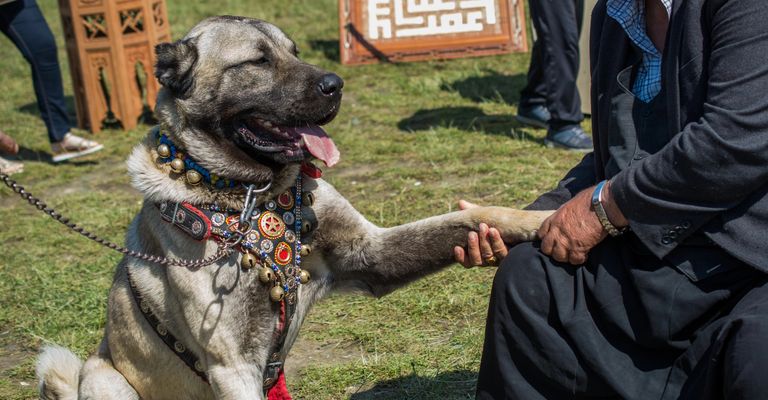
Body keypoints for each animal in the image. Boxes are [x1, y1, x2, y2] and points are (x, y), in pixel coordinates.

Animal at [37, 16, 552, 400]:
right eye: (258, 61)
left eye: (294, 51)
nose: (336, 84)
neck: (254, 197)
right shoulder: (234, 366)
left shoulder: (371, 253)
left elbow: (476, 214)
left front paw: (551, 218)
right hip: (105, 379)